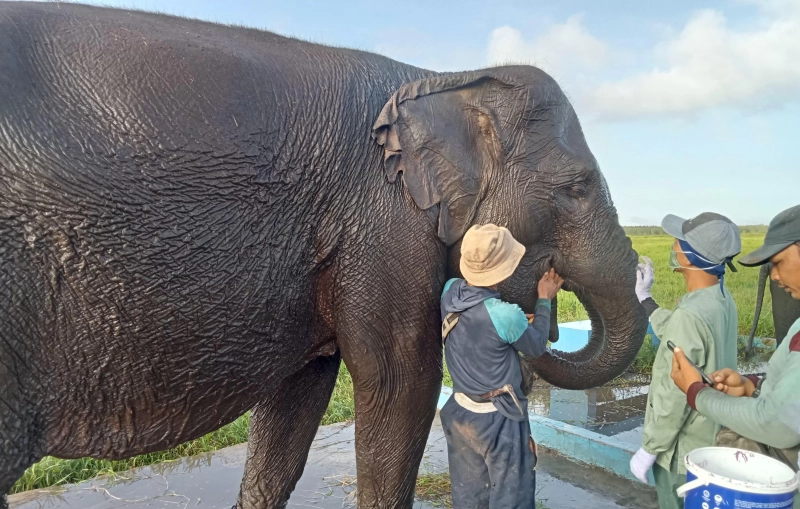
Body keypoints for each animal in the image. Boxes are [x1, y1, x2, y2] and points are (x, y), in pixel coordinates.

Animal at [0, 1, 648, 506]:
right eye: (578, 188)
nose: (549, 299)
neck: (441, 79)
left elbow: (297, 398)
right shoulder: (383, 226)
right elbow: (399, 385)